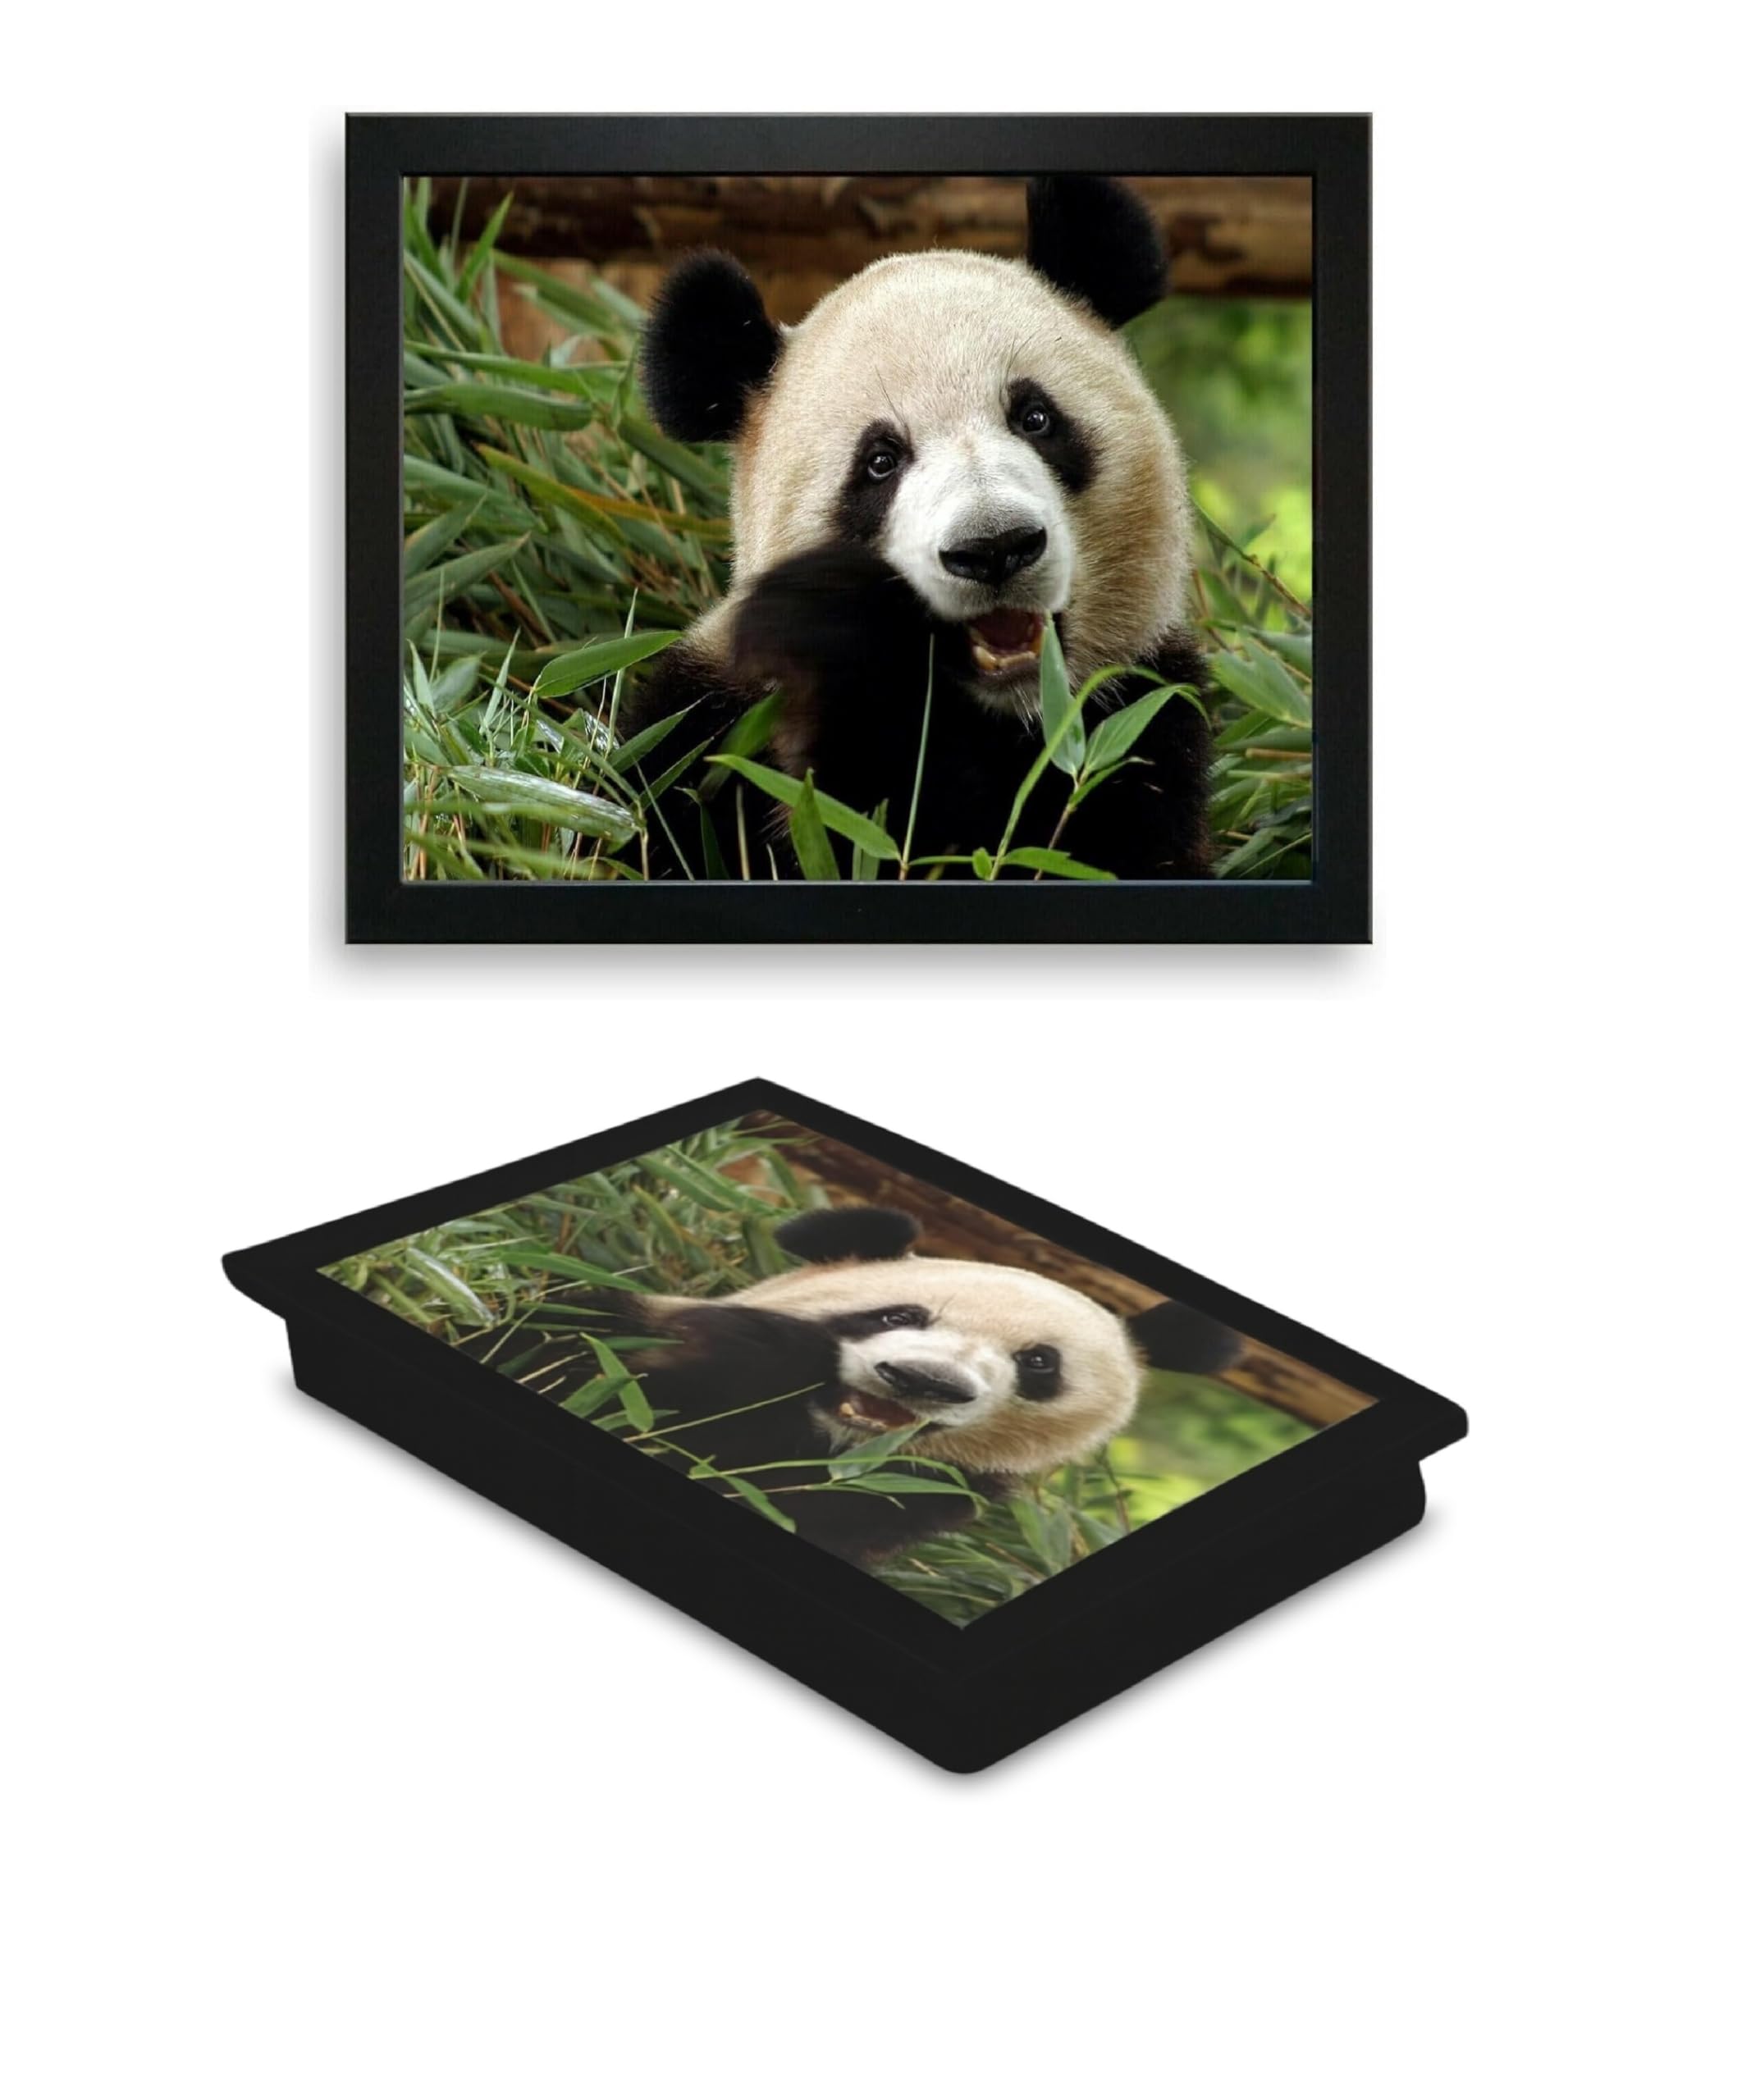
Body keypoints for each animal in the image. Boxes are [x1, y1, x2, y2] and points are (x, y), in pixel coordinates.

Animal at [462, 1206, 1240, 1568]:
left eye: (1040, 1364)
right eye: (900, 1315)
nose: (924, 1379)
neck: (815, 1440)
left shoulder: (899, 1503)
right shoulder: (658, 1354)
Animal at [624, 176, 1212, 880]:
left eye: (1036, 418)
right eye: (880, 461)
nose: (994, 549)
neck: (1003, 718)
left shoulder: (1139, 720)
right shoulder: (705, 731)